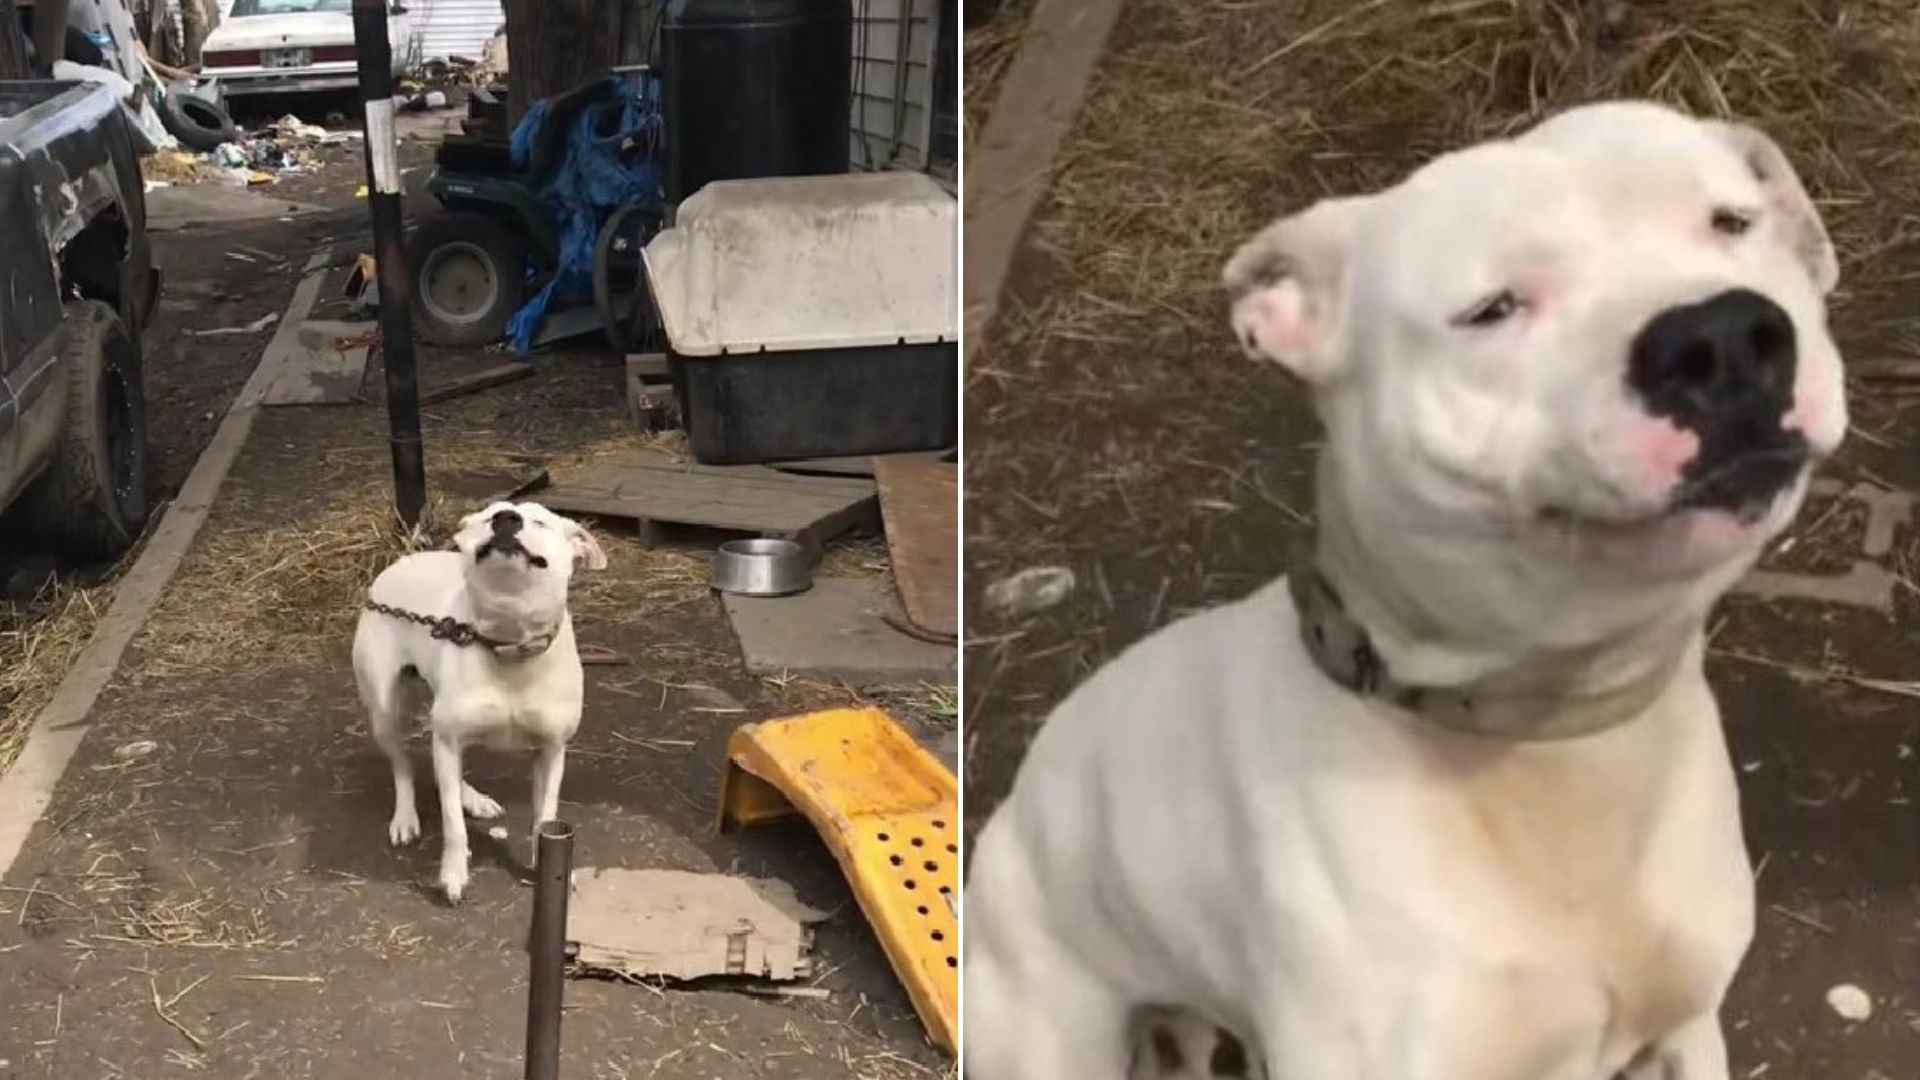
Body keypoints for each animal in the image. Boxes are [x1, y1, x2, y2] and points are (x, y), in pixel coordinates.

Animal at [353, 499, 602, 899]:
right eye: (490, 515)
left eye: (540, 521)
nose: (506, 519)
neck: (510, 642)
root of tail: (401, 562)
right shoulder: (449, 738)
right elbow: (453, 824)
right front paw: (454, 874)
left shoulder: (551, 751)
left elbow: (544, 816)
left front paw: (550, 869)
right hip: (385, 712)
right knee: (405, 766)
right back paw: (406, 817)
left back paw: (473, 798)